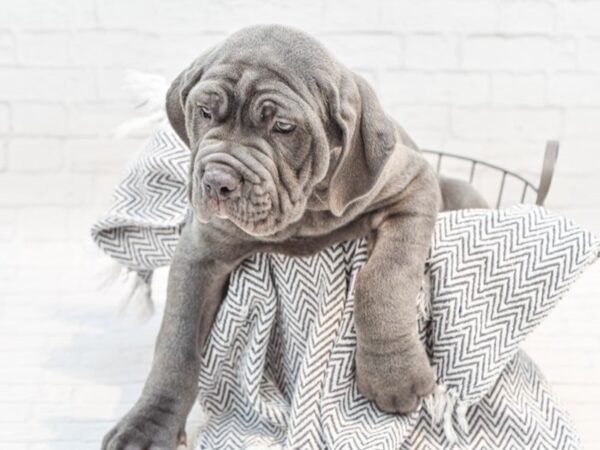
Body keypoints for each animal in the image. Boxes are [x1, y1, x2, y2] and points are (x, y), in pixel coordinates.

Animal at [102, 24, 488, 450]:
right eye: (204, 112)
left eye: (283, 128)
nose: (217, 181)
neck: (304, 212)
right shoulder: (200, 251)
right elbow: (176, 343)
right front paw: (149, 424)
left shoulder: (413, 184)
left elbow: (383, 278)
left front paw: (394, 376)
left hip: (462, 191)